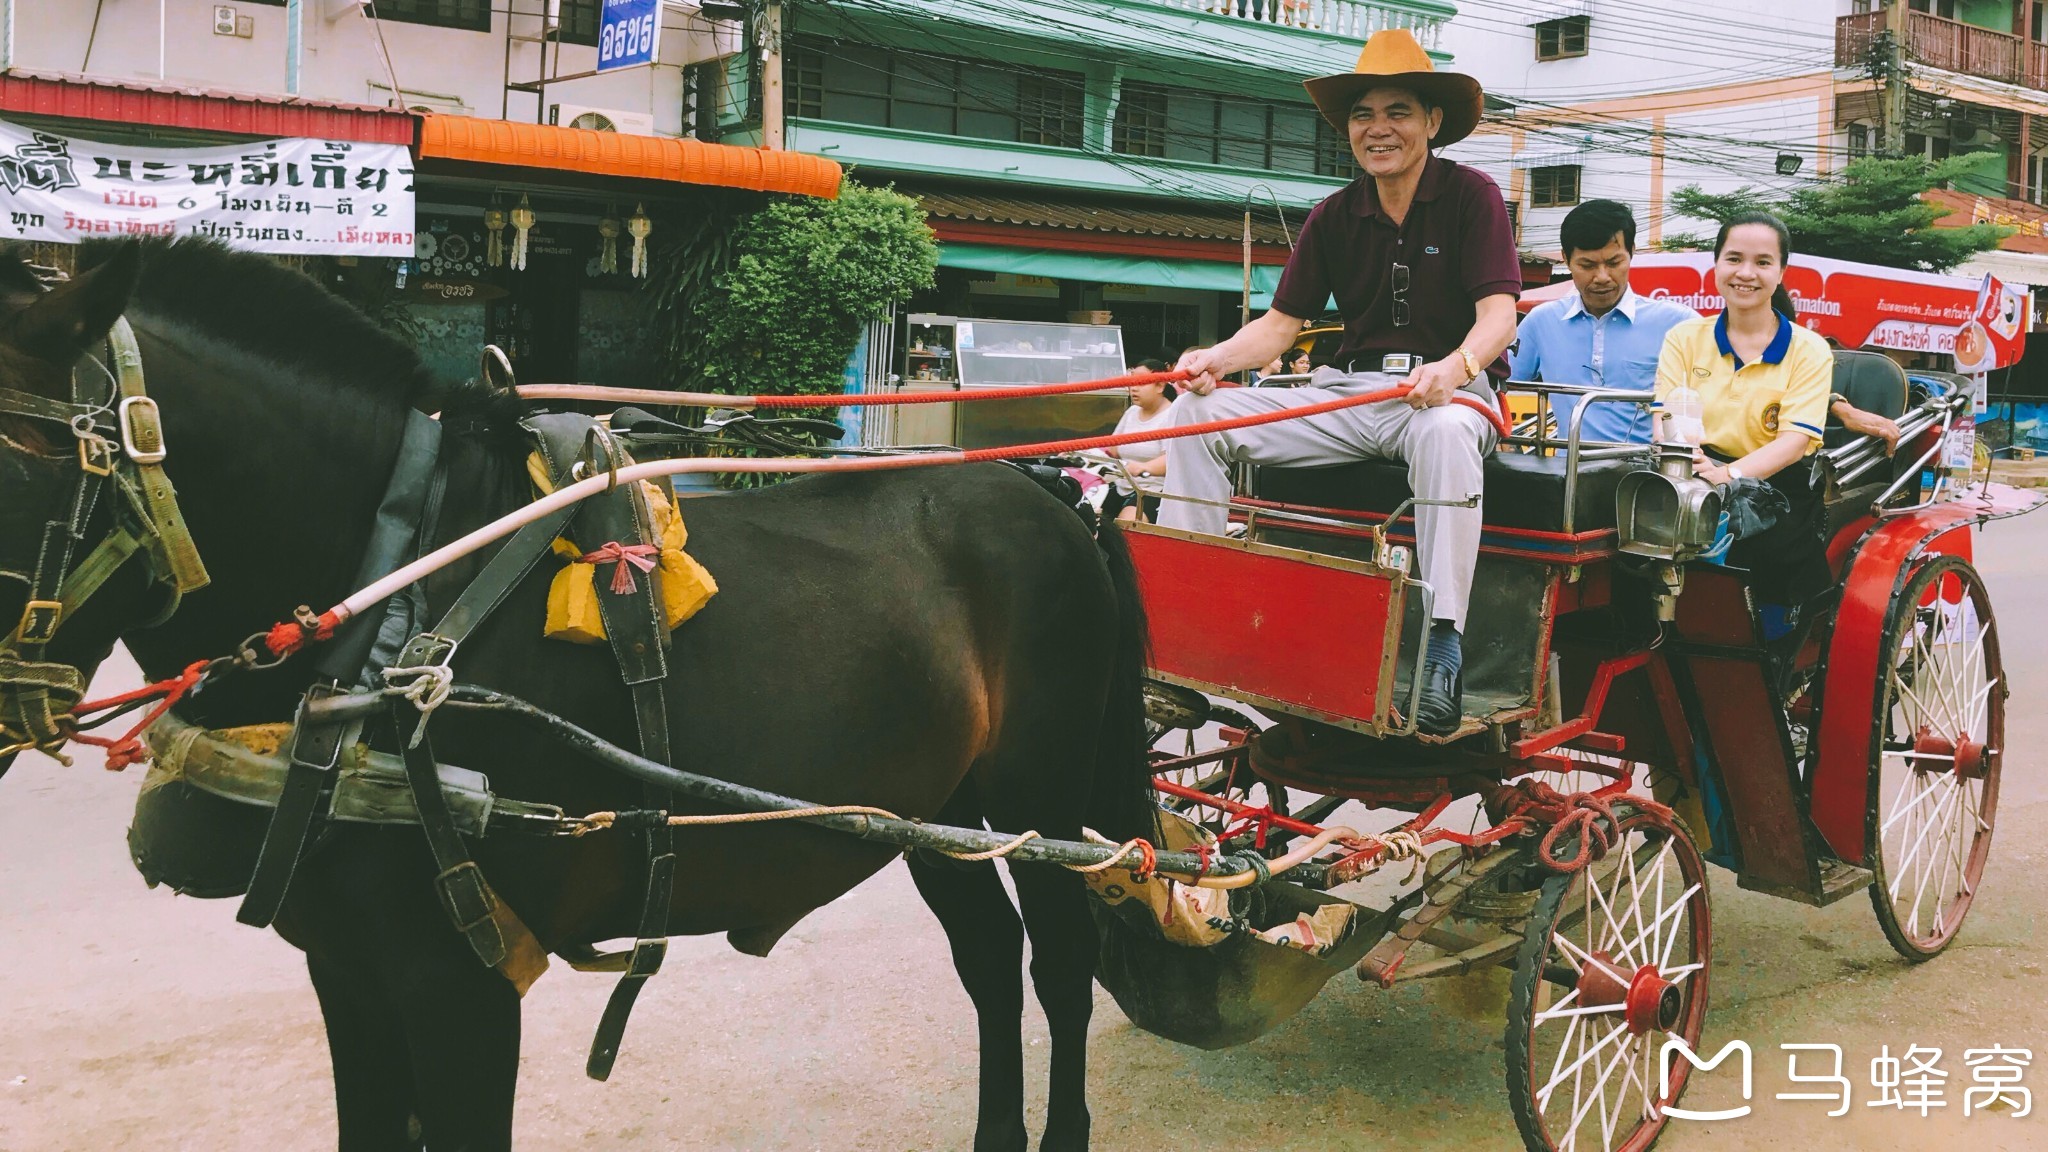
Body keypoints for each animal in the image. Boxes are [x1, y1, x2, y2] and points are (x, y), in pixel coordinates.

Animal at [0, 237, 1155, 1139]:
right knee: (988, 956)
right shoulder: (347, 970)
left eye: (26, 465)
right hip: (932, 805)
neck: (388, 609)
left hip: (1039, 792)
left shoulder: (457, 983)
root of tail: (1048, 489)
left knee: (1058, 961)